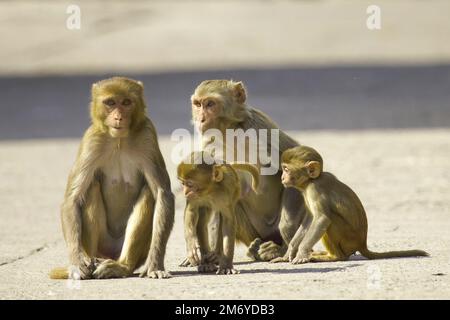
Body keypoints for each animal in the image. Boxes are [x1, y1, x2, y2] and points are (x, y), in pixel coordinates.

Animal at [50, 76, 174, 278]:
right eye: (110, 103)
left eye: (126, 102)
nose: (118, 117)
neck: (119, 140)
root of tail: (110, 254)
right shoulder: (91, 140)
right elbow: (72, 199)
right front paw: (77, 263)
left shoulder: (148, 136)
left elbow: (163, 193)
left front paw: (155, 265)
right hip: (102, 244)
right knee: (91, 188)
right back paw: (92, 262)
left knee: (148, 192)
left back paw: (121, 266)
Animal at [186, 79, 306, 262]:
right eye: (198, 104)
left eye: (210, 104)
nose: (201, 119)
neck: (229, 131)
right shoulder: (209, 145)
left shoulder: (260, 127)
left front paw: (287, 234)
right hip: (252, 232)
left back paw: (277, 249)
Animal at [272, 146, 430, 264]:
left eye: (286, 169)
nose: (282, 178)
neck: (311, 180)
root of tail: (362, 244)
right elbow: (309, 221)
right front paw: (289, 252)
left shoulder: (315, 189)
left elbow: (321, 219)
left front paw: (301, 254)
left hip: (349, 240)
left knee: (331, 220)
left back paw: (334, 257)